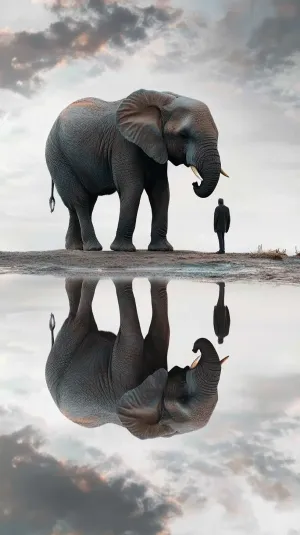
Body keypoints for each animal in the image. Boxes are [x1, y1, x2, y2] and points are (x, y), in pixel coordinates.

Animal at [44, 88, 229, 253]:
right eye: (183, 135)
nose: (195, 183)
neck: (165, 99)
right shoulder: (124, 144)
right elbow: (132, 187)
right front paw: (122, 250)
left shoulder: (156, 146)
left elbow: (161, 190)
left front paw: (162, 249)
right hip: (57, 157)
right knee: (80, 200)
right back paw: (93, 248)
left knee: (83, 202)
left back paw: (75, 248)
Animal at [44, 276, 229, 440]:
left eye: (183, 398)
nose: (195, 346)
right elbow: (160, 331)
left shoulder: (122, 380)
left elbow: (133, 334)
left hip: (67, 343)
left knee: (79, 319)